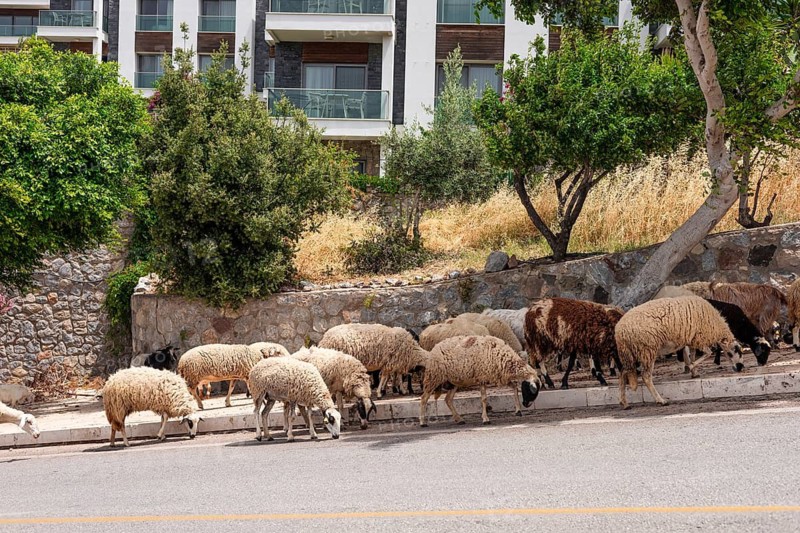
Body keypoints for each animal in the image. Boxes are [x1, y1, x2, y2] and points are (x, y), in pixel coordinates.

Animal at [615, 296, 745, 409]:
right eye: (735, 350)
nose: (740, 367)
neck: (716, 325)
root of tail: (619, 332)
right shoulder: (699, 338)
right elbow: (708, 353)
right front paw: (690, 367)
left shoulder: (692, 339)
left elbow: (692, 354)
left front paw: (694, 372)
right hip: (646, 350)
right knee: (646, 376)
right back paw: (661, 401)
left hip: (629, 353)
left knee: (622, 373)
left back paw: (624, 403)